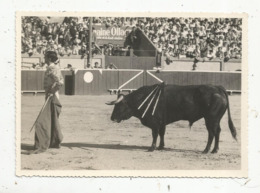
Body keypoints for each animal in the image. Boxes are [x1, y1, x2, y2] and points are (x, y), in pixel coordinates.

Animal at [106, 83, 238, 153]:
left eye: (119, 106)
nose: (112, 118)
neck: (144, 99)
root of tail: (218, 88)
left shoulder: (154, 123)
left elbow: (155, 134)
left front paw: (152, 148)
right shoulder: (161, 123)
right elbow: (162, 134)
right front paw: (161, 146)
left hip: (210, 119)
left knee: (212, 133)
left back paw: (206, 150)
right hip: (216, 119)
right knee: (217, 132)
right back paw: (214, 150)